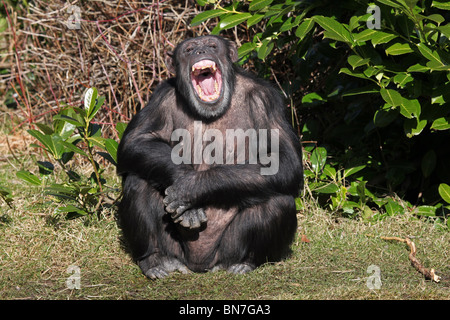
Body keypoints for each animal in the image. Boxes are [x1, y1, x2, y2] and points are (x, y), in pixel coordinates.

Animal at [118, 35, 304, 278]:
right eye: (189, 49)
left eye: (213, 45)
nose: (201, 50)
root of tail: (199, 265)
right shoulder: (160, 98)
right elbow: (136, 141)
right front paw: (184, 187)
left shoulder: (267, 100)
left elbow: (285, 160)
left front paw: (190, 188)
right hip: (176, 251)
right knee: (137, 182)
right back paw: (155, 260)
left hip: (227, 250)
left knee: (278, 200)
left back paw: (245, 263)